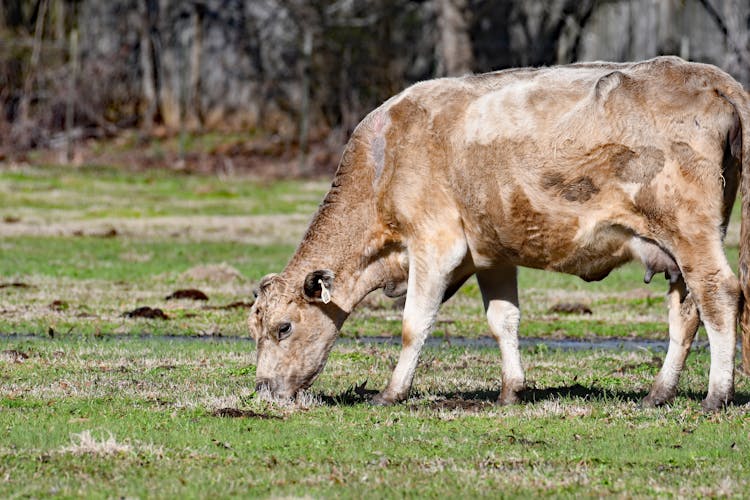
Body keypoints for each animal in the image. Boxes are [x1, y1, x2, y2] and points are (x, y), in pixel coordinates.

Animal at [248, 57, 750, 410]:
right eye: (256, 331)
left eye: (283, 327)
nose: (264, 389)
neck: (383, 160)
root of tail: (710, 76)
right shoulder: (491, 253)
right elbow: (503, 321)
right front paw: (511, 390)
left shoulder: (435, 245)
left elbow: (413, 325)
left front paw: (391, 392)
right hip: (675, 248)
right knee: (686, 311)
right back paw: (659, 392)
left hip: (690, 232)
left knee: (720, 295)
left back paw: (716, 396)